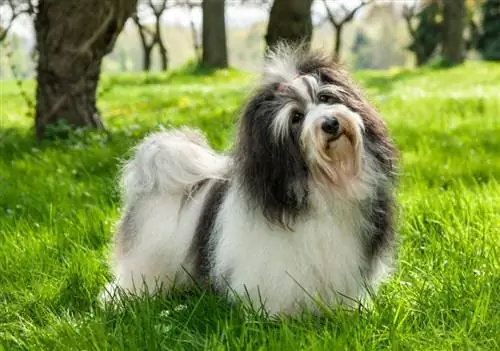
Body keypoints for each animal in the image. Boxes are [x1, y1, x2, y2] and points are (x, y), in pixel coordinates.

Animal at [101, 45, 398, 318]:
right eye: (296, 118)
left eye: (325, 97)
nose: (330, 123)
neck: (324, 184)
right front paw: (280, 318)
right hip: (148, 255)